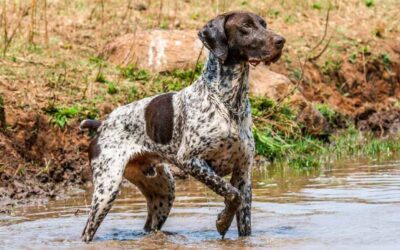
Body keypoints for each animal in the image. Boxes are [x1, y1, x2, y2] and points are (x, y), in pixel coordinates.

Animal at [80, 11, 284, 242]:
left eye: (264, 24)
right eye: (246, 26)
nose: (281, 41)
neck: (229, 103)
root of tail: (102, 124)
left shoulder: (243, 173)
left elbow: (241, 211)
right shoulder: (191, 161)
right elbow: (232, 194)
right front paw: (223, 221)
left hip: (164, 192)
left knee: (151, 226)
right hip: (107, 189)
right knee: (87, 231)